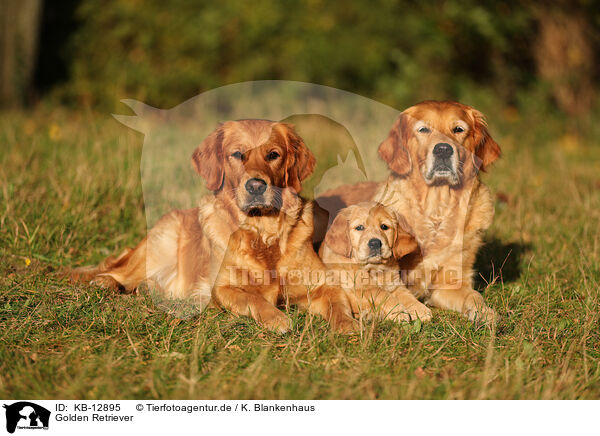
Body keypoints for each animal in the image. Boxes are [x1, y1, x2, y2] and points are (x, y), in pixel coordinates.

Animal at [73, 119, 358, 334]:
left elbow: (338, 304)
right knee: (120, 272)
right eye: (237, 154)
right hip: (159, 245)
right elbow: (253, 297)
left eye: (273, 155)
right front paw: (277, 318)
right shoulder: (223, 288)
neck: (262, 233)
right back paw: (105, 282)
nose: (256, 186)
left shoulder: (322, 285)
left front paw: (348, 325)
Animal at [318, 100, 502, 322]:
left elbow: (474, 297)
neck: (437, 210)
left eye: (459, 129)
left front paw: (486, 314)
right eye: (423, 129)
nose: (443, 149)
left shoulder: (450, 284)